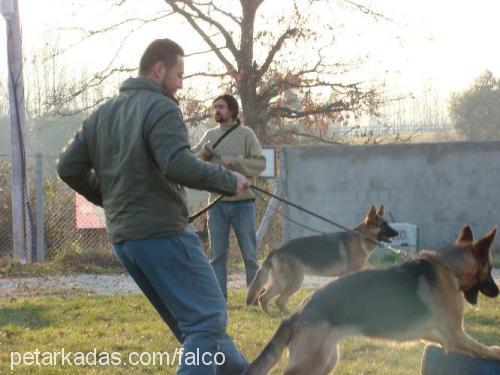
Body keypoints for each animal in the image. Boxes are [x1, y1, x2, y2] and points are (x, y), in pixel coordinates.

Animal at [245, 226, 500, 375]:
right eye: (489, 269)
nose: (497, 292)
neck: (449, 267)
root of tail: (297, 313)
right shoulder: (455, 334)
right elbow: (481, 348)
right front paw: (495, 351)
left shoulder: (438, 336)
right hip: (311, 361)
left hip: (327, 361)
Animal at [247, 206, 398, 314]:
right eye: (383, 225)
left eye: (387, 223)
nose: (397, 233)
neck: (361, 238)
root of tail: (278, 249)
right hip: (293, 282)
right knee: (278, 300)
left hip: (280, 283)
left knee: (263, 298)